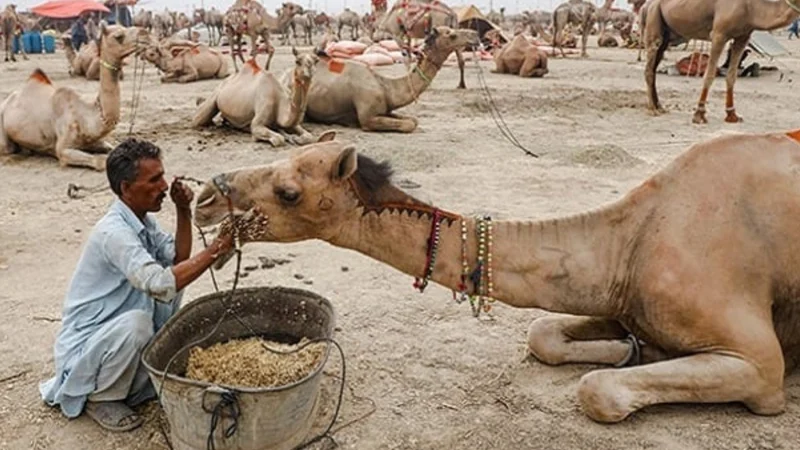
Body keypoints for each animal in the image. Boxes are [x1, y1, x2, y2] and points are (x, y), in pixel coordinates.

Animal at [0, 24, 148, 170]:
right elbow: (99, 161)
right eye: (119, 36)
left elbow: (111, 147)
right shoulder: (63, 149)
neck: (86, 116)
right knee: (8, 148)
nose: (145, 33)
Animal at [195, 126, 800, 424]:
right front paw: (632, 351)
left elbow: (597, 390)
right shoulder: (616, 300)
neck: (630, 244)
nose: (204, 197)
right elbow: (543, 334)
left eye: (288, 191)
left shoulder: (757, 361)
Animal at [304, 26, 477, 133]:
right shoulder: (367, 118)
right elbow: (409, 124)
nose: (474, 35)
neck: (385, 86)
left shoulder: (386, 111)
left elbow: (413, 120)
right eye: (451, 34)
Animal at [644, 0, 800, 124]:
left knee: (654, 66)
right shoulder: (719, 34)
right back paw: (652, 109)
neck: (752, 8)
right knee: (649, 66)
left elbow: (731, 76)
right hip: (654, 15)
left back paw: (659, 106)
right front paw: (699, 114)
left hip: (667, 35)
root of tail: (649, 4)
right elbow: (709, 75)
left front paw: (732, 114)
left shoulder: (743, 37)